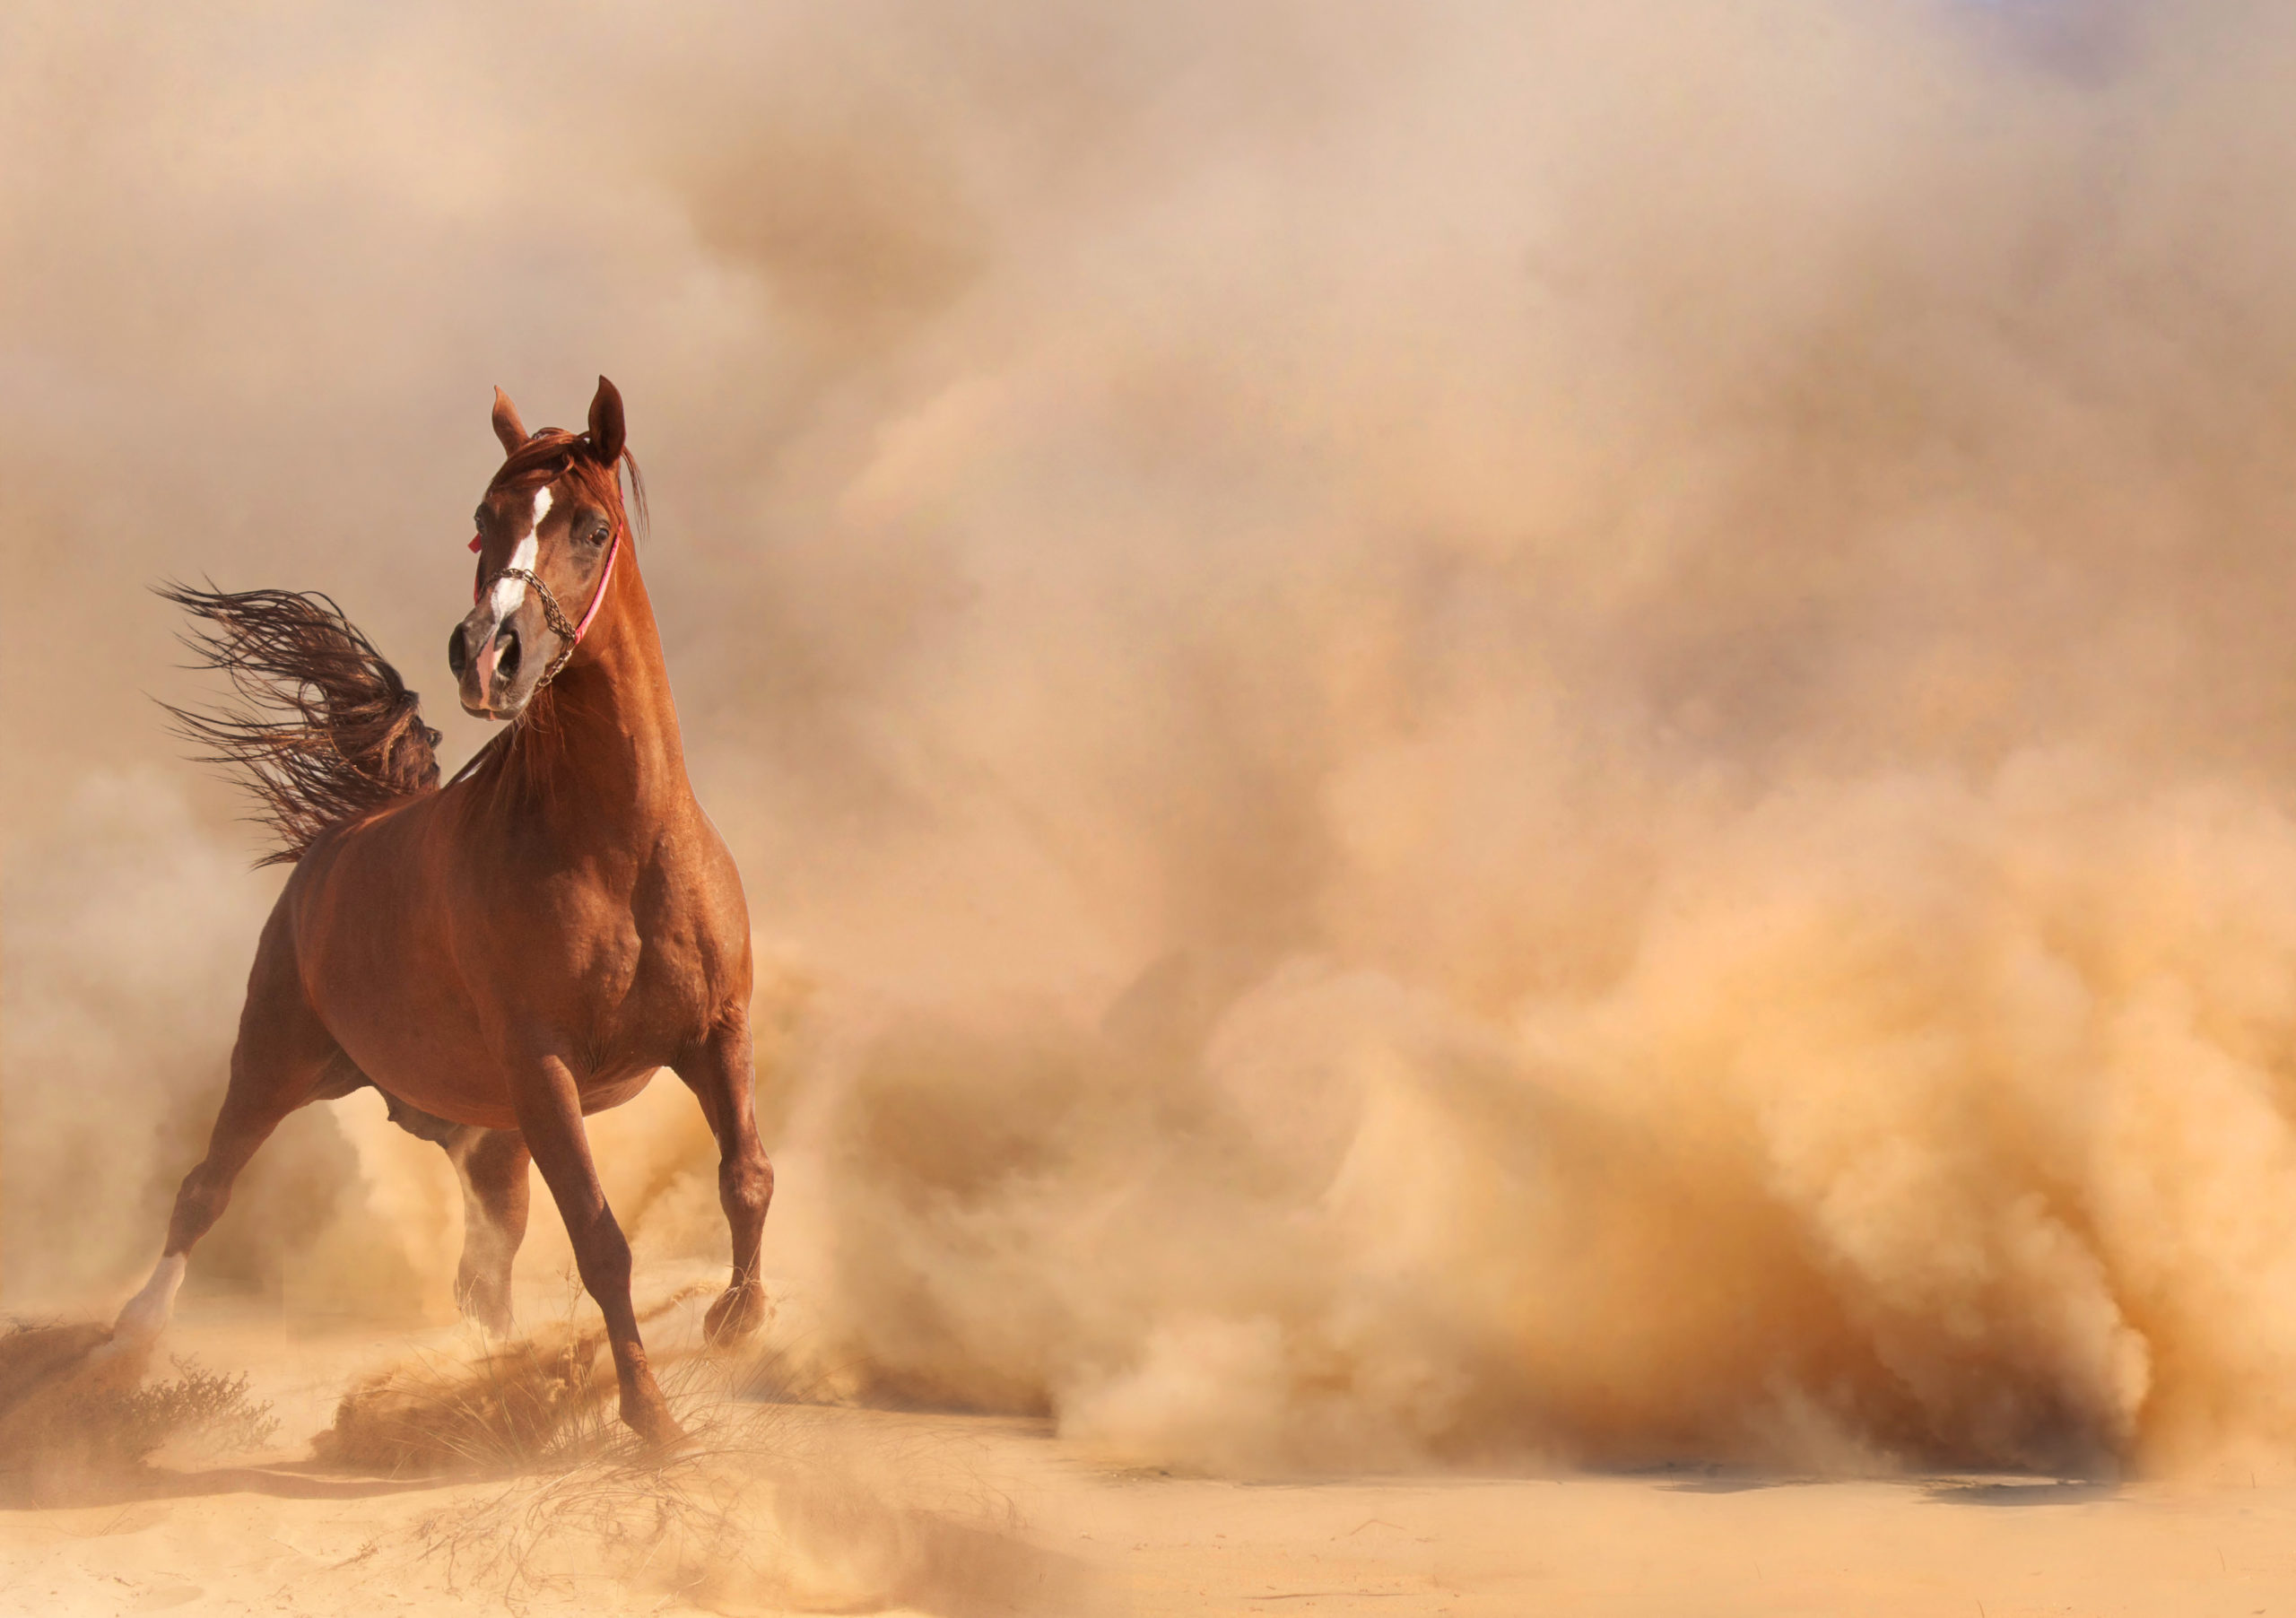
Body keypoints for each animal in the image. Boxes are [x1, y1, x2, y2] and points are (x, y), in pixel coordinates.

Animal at [112, 377, 766, 1444]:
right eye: (482, 520)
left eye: (591, 526)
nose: (487, 657)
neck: (621, 846)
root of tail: (340, 837)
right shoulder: (544, 1070)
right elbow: (602, 1239)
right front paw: (651, 1419)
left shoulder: (715, 1033)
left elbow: (745, 1176)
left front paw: (736, 1322)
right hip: (276, 1061)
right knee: (203, 1193)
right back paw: (126, 1344)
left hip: (483, 1132)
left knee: (483, 1273)